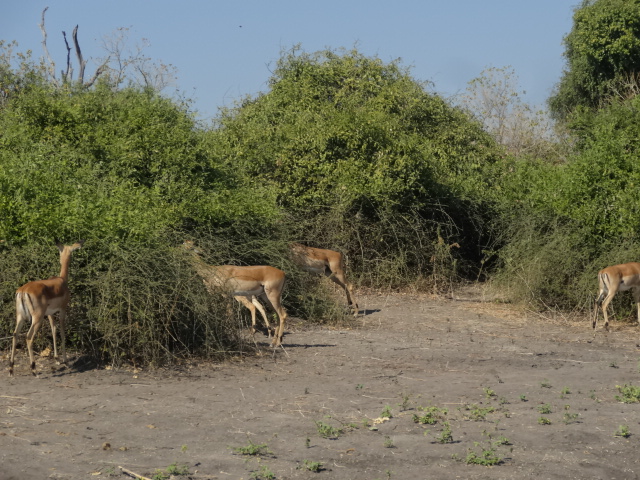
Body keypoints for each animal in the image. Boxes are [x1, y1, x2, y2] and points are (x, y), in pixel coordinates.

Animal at [10, 240, 84, 376]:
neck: (61, 281)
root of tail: (23, 291)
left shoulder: (50, 313)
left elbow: (54, 329)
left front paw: (57, 359)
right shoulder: (62, 309)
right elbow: (62, 331)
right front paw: (65, 361)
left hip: (20, 316)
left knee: (15, 334)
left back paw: (11, 369)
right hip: (37, 318)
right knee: (28, 337)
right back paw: (34, 370)